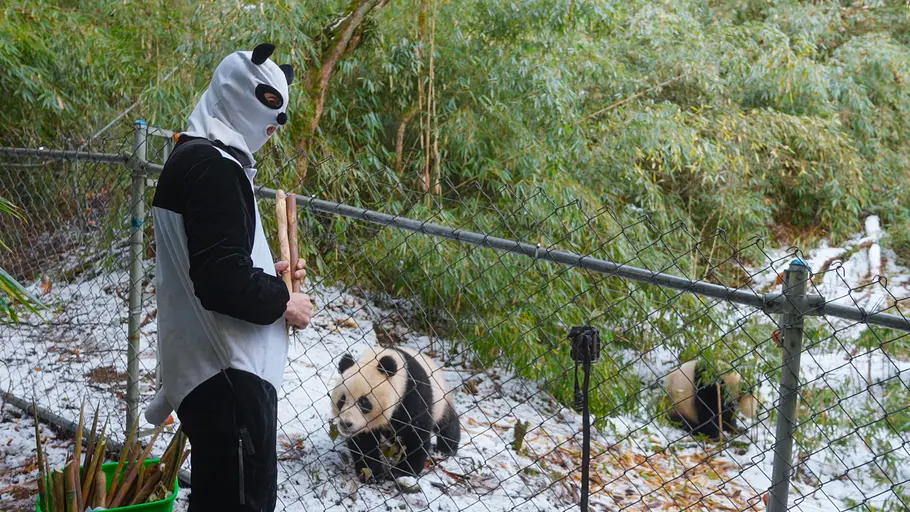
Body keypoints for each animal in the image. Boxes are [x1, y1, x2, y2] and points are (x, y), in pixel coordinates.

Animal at [330, 345, 461, 482]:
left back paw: (446, 449)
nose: (345, 423)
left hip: (442, 399)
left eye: (363, 402)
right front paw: (371, 473)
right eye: (342, 400)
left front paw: (401, 472)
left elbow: (414, 434)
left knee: (447, 423)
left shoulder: (412, 393)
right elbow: (364, 442)